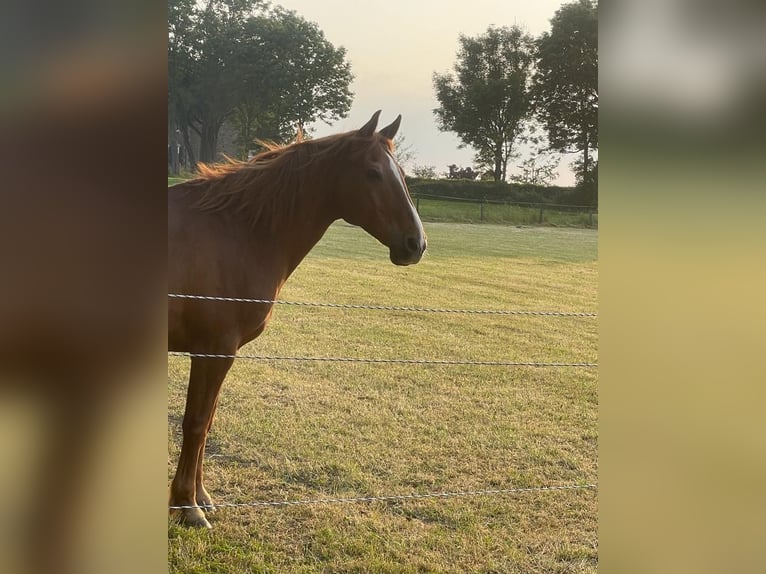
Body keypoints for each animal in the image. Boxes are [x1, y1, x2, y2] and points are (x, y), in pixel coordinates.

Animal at [168, 111, 427, 528]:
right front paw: (187, 505)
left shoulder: (216, 356)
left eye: (400, 173)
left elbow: (207, 422)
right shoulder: (213, 352)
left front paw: (201, 497)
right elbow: (195, 423)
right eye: (373, 172)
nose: (415, 244)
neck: (236, 230)